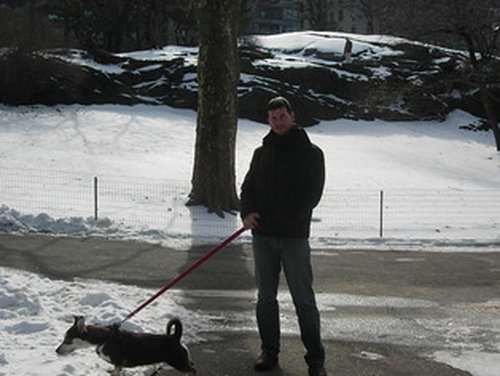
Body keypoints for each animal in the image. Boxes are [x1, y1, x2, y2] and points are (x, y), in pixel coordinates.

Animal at [55, 316, 194, 374]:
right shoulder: (118, 364)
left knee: (193, 370)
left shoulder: (118, 362)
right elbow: (115, 370)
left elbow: (116, 372)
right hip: (181, 360)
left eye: (68, 340)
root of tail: (175, 337)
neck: (104, 339)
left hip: (177, 362)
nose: (56, 351)